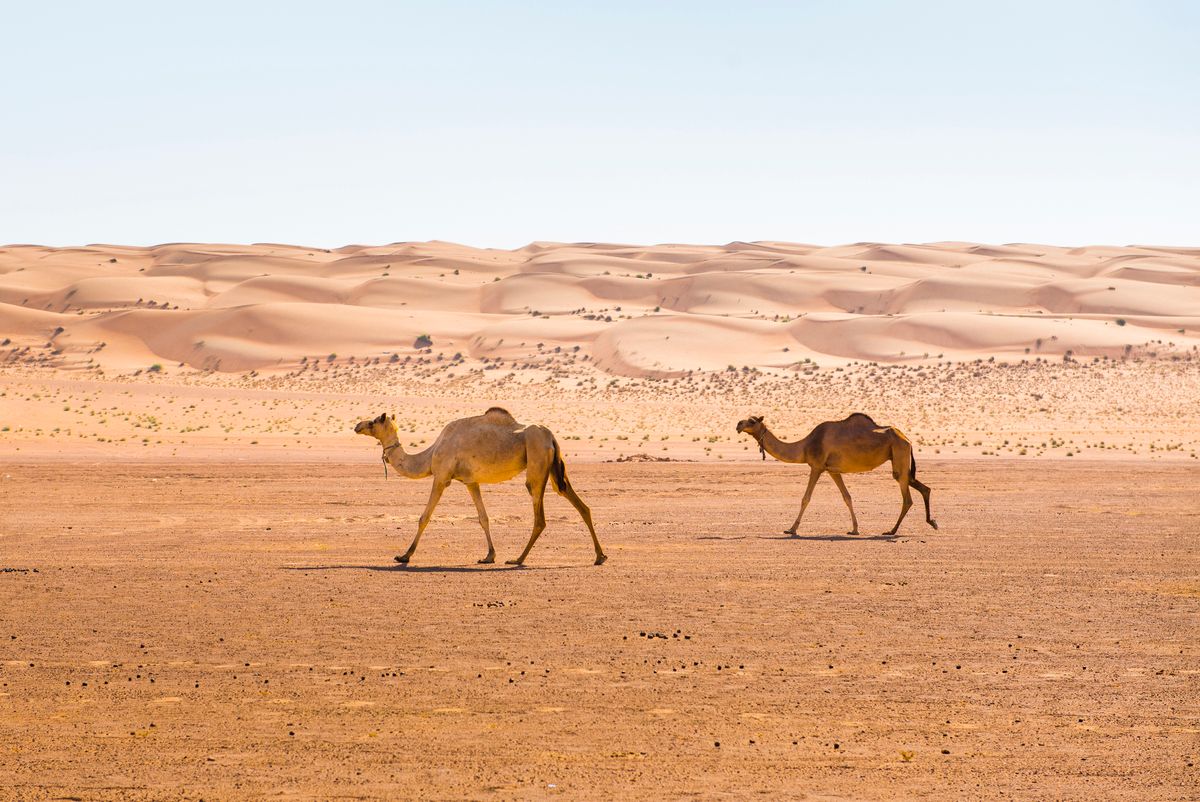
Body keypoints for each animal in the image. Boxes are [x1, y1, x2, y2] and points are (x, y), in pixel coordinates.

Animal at [354, 407, 606, 566]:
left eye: (374, 421)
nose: (357, 425)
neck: (430, 454)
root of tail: (551, 435)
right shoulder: (471, 482)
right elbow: (483, 518)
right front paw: (489, 555)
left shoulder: (441, 477)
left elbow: (424, 517)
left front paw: (404, 556)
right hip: (554, 471)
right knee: (580, 505)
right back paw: (599, 556)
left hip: (537, 464)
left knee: (540, 518)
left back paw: (518, 559)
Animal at [735, 413, 937, 537]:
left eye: (752, 421)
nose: (738, 424)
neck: (805, 445)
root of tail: (907, 439)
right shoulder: (832, 471)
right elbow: (847, 497)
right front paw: (854, 529)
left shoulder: (816, 466)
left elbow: (806, 498)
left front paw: (791, 529)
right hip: (900, 459)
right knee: (923, 488)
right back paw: (932, 522)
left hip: (899, 454)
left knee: (907, 498)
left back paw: (891, 531)